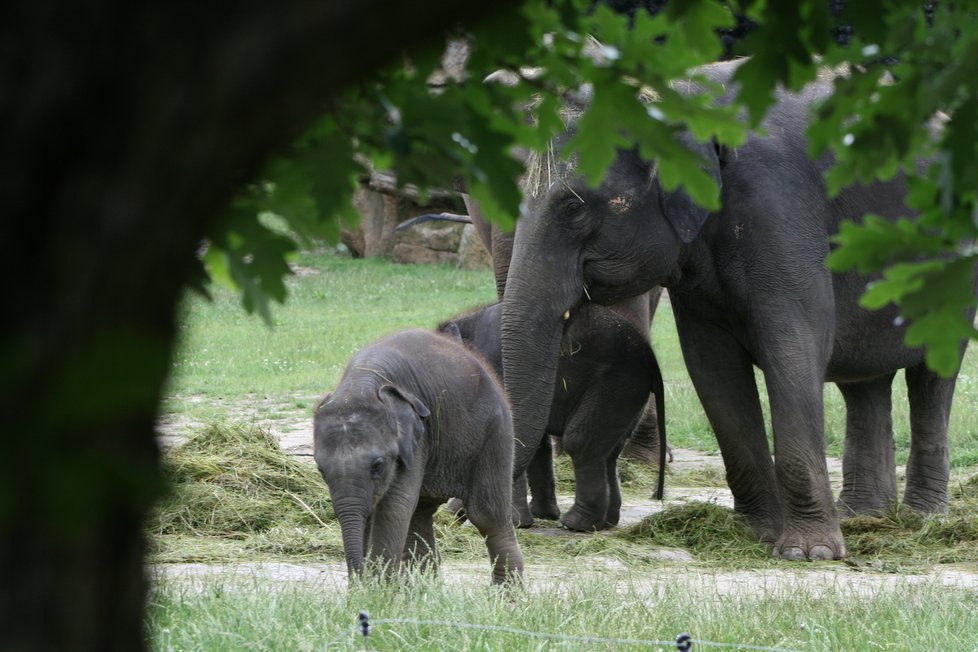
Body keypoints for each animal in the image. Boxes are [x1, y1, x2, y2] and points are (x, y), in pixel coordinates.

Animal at [316, 328, 524, 584]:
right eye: (321, 470)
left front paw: (374, 592)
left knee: (487, 515)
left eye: (377, 465)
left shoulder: (415, 439)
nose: (358, 583)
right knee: (420, 513)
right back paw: (423, 590)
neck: (362, 382)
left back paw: (506, 594)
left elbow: (393, 506)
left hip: (496, 430)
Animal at [440, 298, 664, 532]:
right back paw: (605, 523)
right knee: (608, 451)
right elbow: (537, 443)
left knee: (579, 441)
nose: (449, 515)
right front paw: (541, 516)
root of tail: (651, 360)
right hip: (626, 395)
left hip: (615, 386)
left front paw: (515, 522)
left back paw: (575, 524)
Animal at [500, 58, 972, 564]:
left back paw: (922, 519)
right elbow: (713, 367)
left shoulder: (780, 211)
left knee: (933, 374)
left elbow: (795, 347)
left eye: (573, 207)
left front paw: (807, 553)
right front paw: (756, 534)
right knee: (864, 381)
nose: (525, 524)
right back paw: (864, 515)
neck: (680, 96)